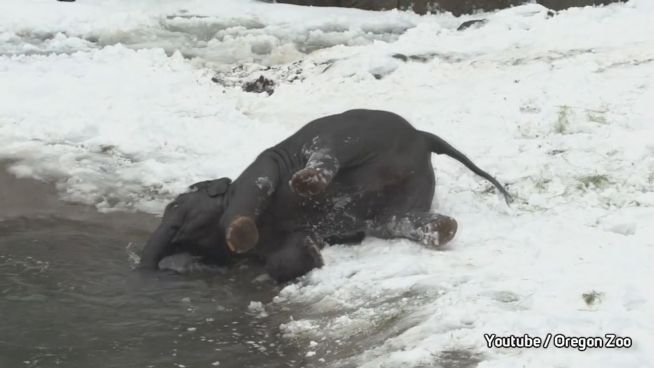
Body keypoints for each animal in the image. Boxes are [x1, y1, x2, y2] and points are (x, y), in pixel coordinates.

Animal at [142, 109, 512, 282]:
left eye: (175, 204)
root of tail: (423, 137)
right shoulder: (273, 243)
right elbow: (281, 258)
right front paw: (315, 253)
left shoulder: (257, 171)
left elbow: (252, 191)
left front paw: (242, 234)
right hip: (406, 196)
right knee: (396, 220)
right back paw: (443, 229)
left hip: (352, 132)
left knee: (327, 151)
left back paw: (306, 181)